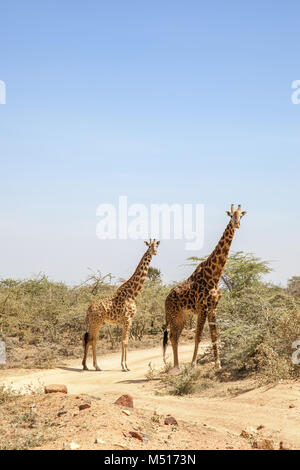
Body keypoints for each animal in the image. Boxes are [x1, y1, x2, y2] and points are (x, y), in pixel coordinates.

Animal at [81, 239, 161, 370]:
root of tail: (89, 309)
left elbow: (123, 341)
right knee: (93, 340)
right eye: (149, 246)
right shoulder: (128, 319)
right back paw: (96, 366)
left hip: (94, 323)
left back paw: (86, 365)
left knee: (89, 339)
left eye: (156, 246)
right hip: (96, 323)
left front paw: (123, 365)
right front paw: (125, 366)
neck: (132, 294)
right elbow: (125, 341)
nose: (155, 252)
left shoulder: (125, 321)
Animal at [164, 205, 246, 370]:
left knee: (175, 336)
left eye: (241, 215)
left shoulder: (213, 307)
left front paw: (218, 364)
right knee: (172, 336)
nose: (237, 224)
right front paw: (193, 364)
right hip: (173, 314)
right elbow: (199, 336)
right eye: (231, 215)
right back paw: (176, 367)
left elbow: (215, 336)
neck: (214, 276)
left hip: (183, 316)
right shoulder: (202, 307)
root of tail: (165, 300)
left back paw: (177, 366)